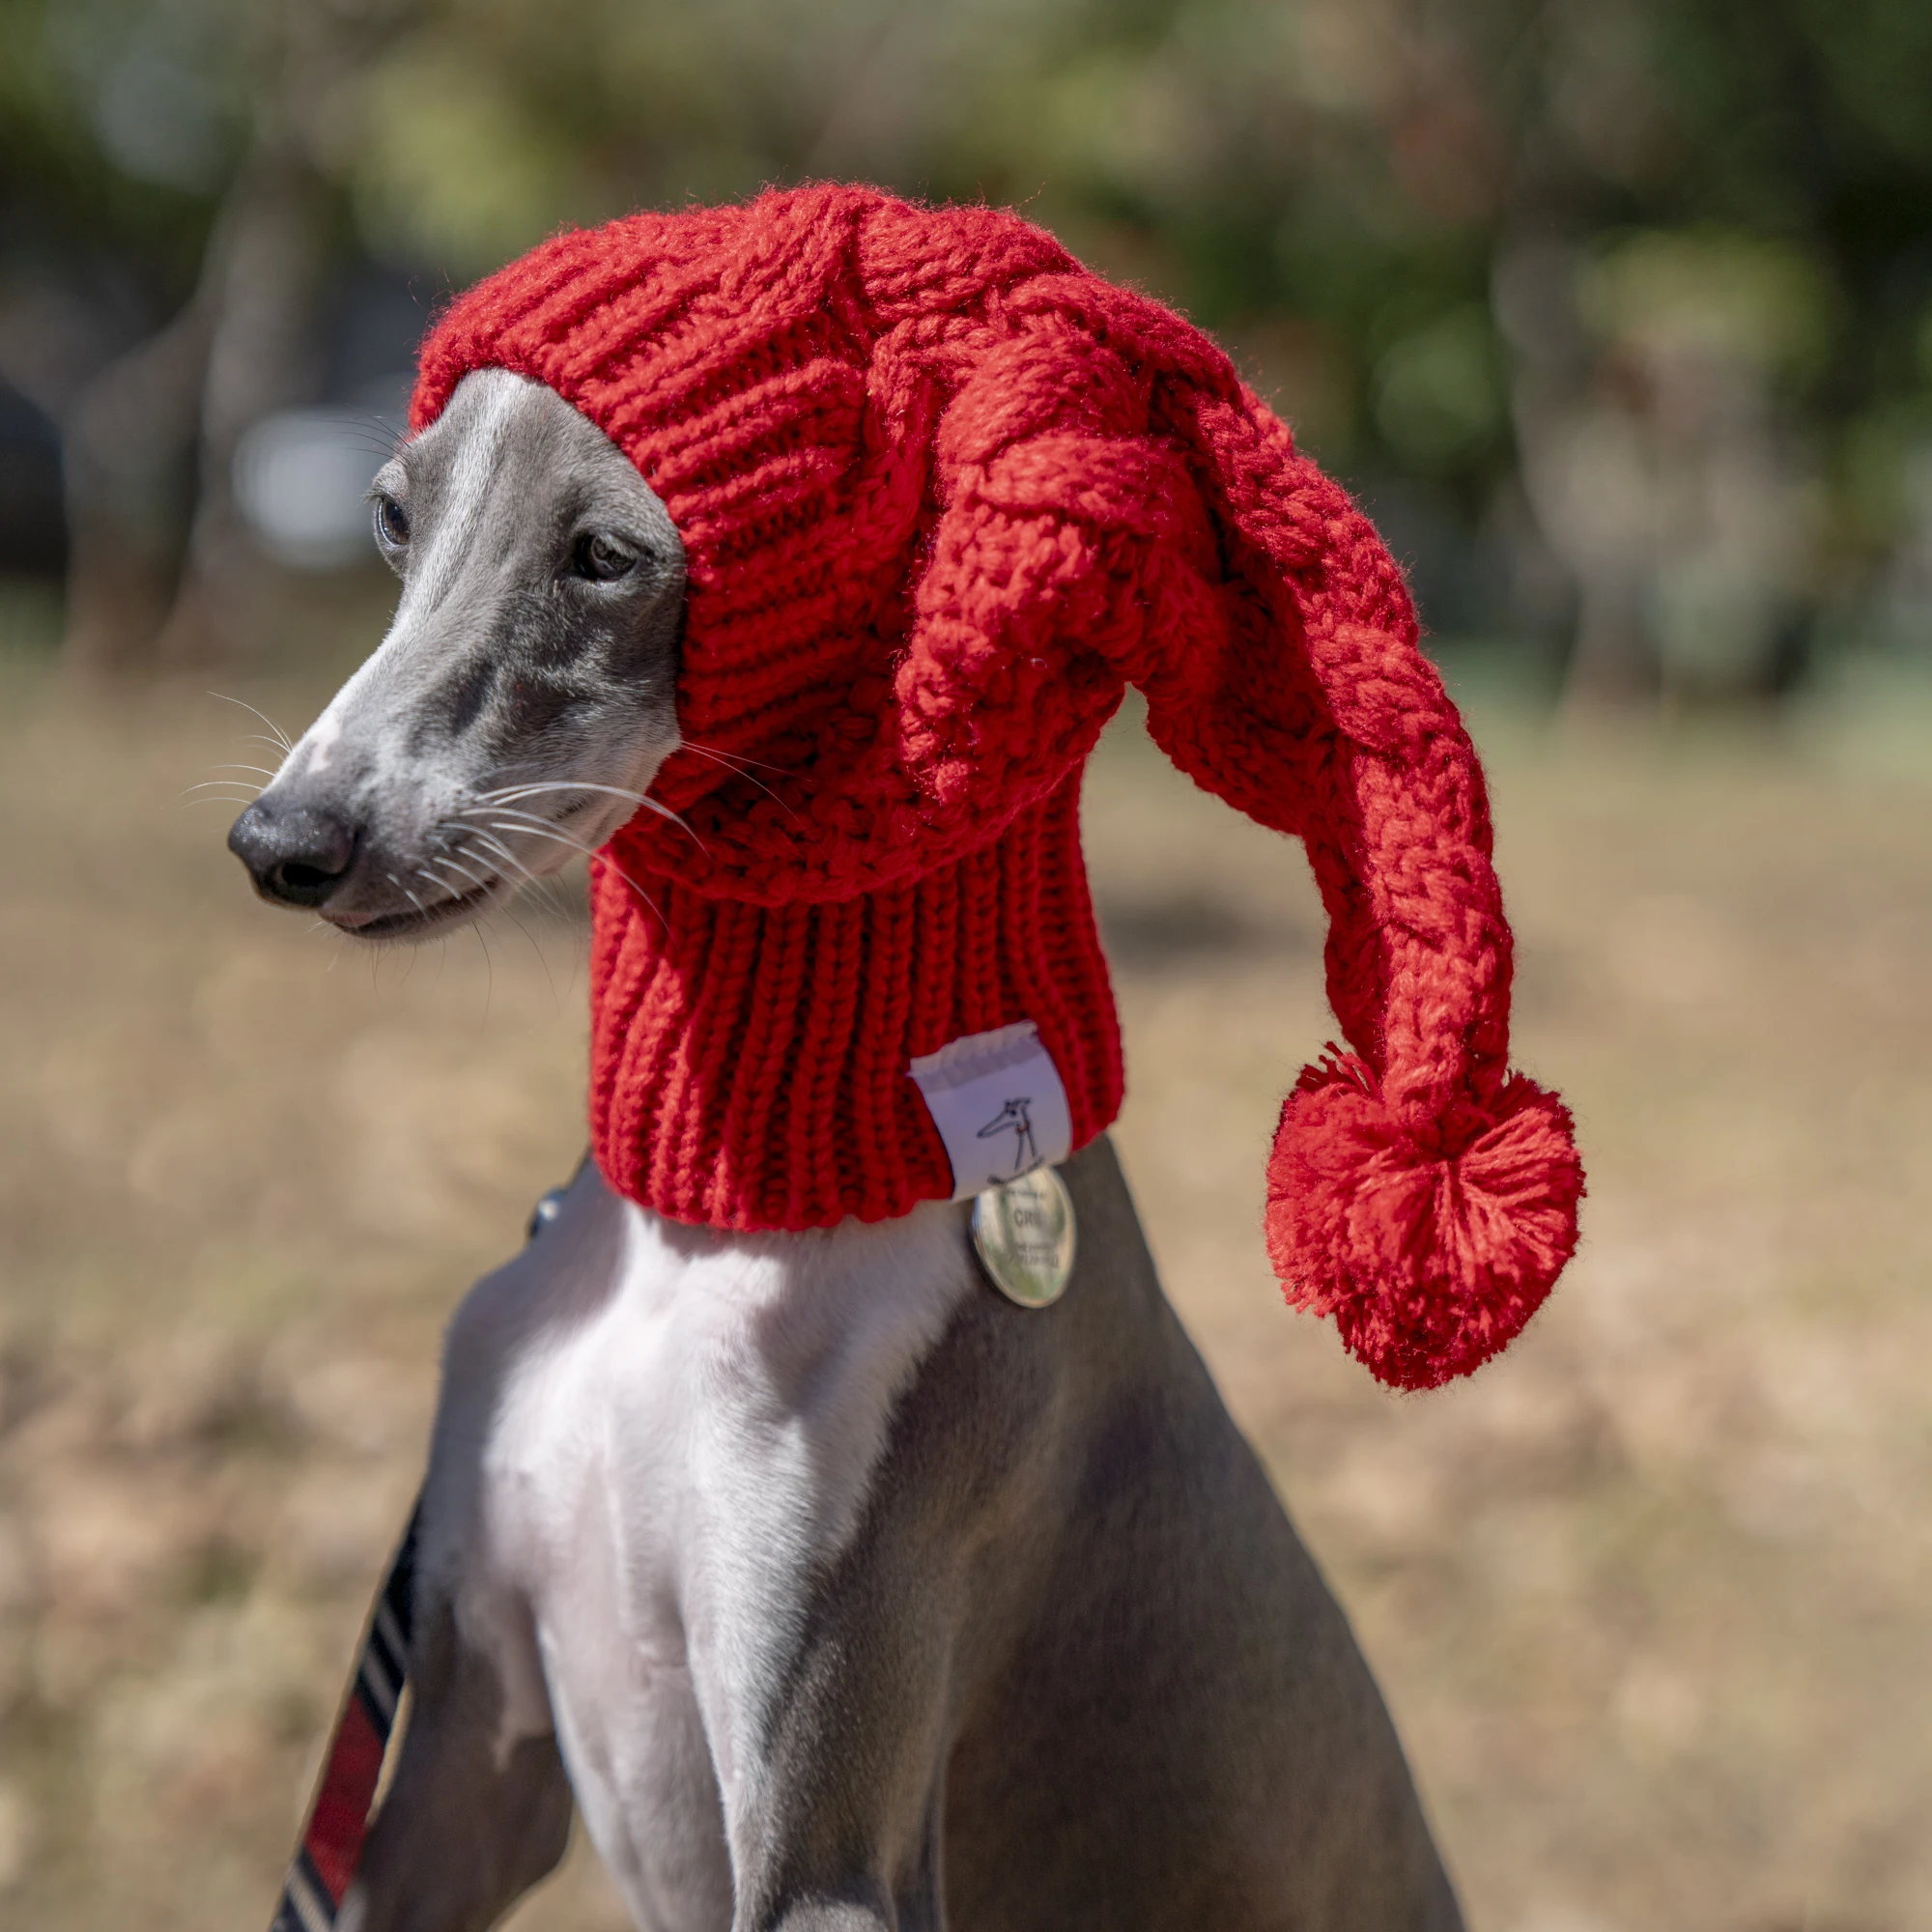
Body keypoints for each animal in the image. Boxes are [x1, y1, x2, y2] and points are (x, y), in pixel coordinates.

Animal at [230, 369, 1461, 1924]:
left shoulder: (827, 1839)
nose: (282, 840)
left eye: (608, 555)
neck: (698, 1227)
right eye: (395, 515)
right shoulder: (458, 1768)